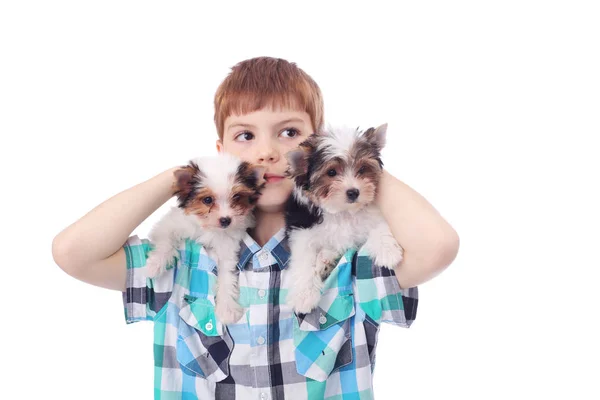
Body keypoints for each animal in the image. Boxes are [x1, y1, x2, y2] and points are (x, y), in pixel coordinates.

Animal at [145, 152, 264, 324]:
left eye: (237, 197)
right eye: (207, 200)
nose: (226, 220)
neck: (210, 229)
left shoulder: (227, 246)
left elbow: (226, 273)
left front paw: (227, 308)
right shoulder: (175, 223)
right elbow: (165, 239)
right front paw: (155, 265)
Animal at [284, 123, 404, 314]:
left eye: (362, 169)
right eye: (331, 172)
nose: (353, 192)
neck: (342, 212)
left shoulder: (371, 214)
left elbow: (378, 225)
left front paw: (387, 250)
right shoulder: (301, 231)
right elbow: (304, 260)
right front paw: (304, 295)